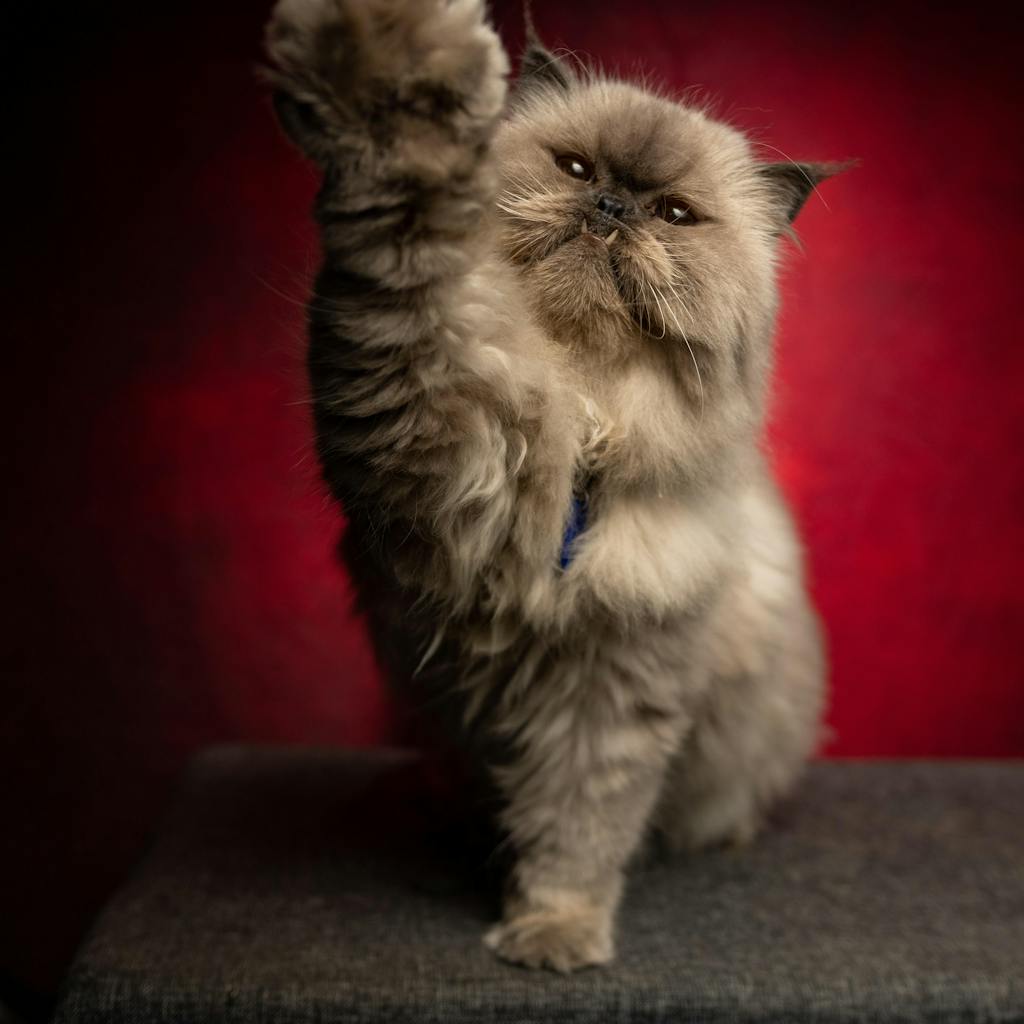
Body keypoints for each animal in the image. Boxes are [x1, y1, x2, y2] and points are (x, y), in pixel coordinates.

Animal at [265, 0, 835, 972]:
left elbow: (579, 826)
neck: (585, 412)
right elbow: (407, 229)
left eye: (674, 214)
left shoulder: (616, 684)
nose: (611, 207)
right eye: (574, 168)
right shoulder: (418, 410)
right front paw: (385, 60)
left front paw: (552, 934)